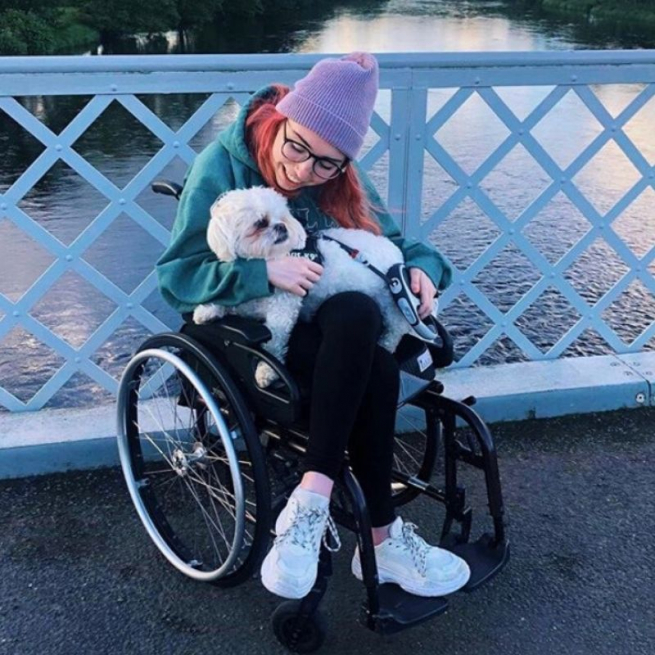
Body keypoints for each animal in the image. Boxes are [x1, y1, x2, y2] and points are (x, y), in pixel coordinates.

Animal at [193, 184, 416, 386]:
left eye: (283, 218)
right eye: (260, 223)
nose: (281, 227)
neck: (271, 259)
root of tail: (396, 254)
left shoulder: (283, 309)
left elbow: (273, 342)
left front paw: (267, 370)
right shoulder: (250, 300)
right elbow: (232, 298)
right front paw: (208, 310)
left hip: (391, 302)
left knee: (396, 329)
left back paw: (386, 343)